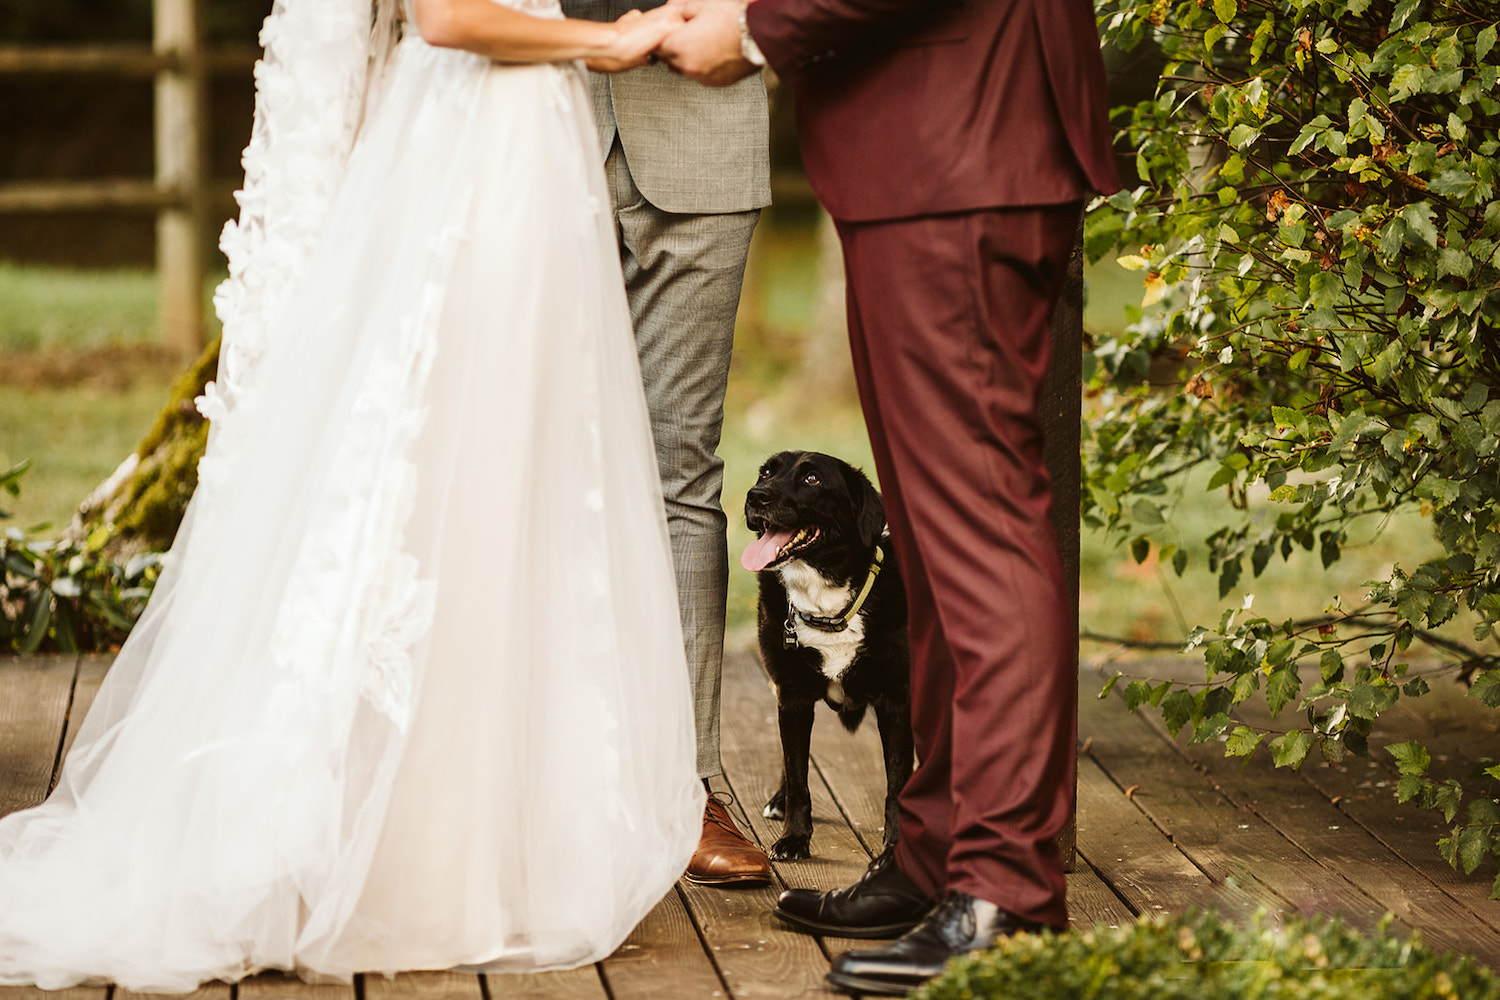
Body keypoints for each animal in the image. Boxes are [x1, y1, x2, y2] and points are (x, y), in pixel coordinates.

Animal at [741, 446, 912, 863]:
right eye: (766, 472)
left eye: (812, 478)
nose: (755, 496)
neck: (827, 606)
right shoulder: (792, 696)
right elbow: (799, 778)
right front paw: (794, 838)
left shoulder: (896, 701)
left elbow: (896, 785)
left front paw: (895, 851)